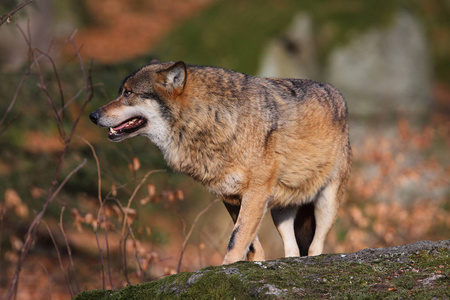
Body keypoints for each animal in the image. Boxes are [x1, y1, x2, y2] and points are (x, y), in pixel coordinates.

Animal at [89, 61, 352, 264]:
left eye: (128, 93)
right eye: (121, 92)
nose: (93, 115)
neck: (212, 119)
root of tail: (339, 95)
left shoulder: (255, 194)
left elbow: (236, 239)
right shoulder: (231, 197)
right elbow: (250, 244)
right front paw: (253, 265)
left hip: (326, 204)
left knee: (315, 247)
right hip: (280, 212)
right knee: (293, 249)